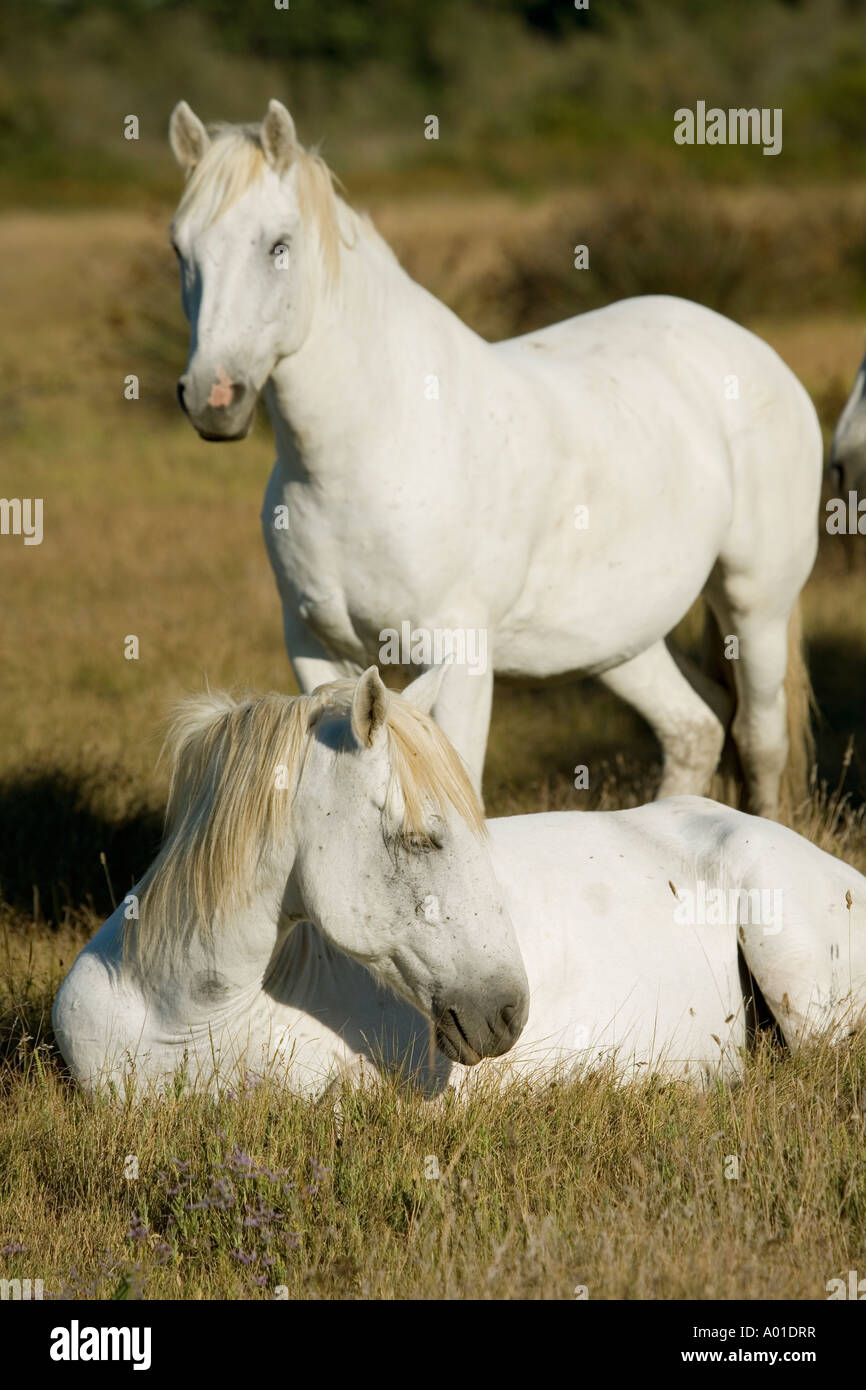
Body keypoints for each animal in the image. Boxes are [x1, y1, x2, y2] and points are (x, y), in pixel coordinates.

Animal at [166, 102, 822, 817]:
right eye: (179, 249)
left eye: (279, 245)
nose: (213, 398)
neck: (362, 453)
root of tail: (752, 350)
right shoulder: (314, 650)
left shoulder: (459, 659)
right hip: (619, 639)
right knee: (695, 727)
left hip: (755, 604)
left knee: (759, 740)